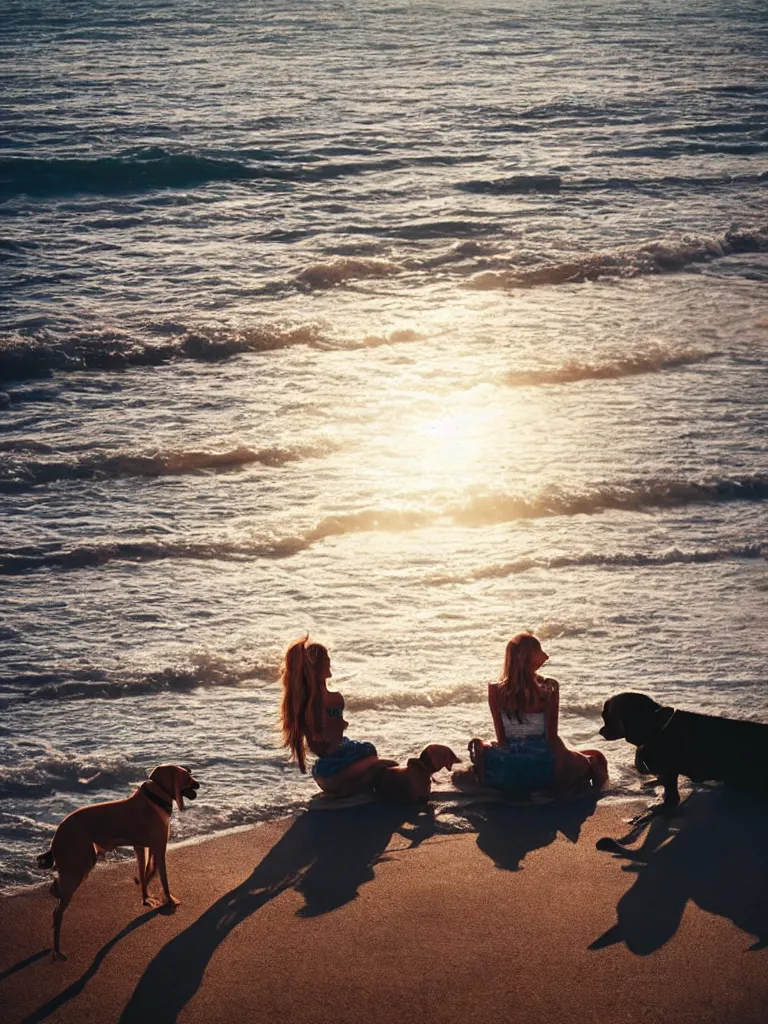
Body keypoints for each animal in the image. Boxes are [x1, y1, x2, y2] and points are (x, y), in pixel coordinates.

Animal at [37, 765, 199, 954]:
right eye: (188, 777)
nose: (199, 784)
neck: (156, 796)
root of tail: (57, 832)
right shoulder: (159, 848)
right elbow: (163, 878)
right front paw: (170, 900)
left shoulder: (143, 848)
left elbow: (145, 873)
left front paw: (146, 897)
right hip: (79, 862)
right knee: (58, 910)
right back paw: (57, 949)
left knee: (58, 894)